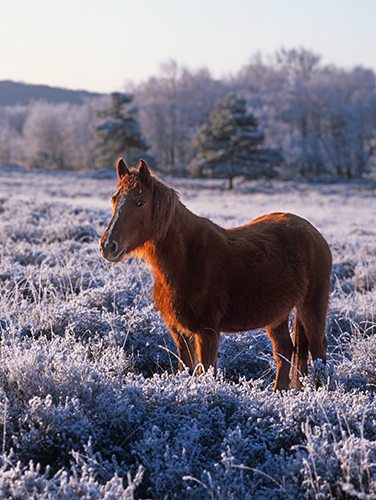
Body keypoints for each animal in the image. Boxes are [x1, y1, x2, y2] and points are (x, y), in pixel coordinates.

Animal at [100, 158, 332, 388]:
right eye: (114, 198)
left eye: (140, 202)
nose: (108, 246)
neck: (187, 259)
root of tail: (313, 233)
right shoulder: (180, 332)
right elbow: (186, 369)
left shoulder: (207, 332)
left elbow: (206, 371)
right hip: (277, 316)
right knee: (284, 351)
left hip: (312, 306)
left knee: (318, 350)